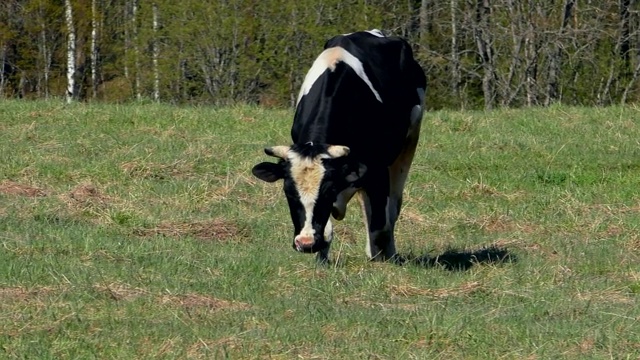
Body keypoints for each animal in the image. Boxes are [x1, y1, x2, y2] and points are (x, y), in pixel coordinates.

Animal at [252, 29, 428, 262]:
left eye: (327, 191)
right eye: (288, 192)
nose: (305, 243)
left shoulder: (377, 168)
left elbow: (379, 224)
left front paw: (381, 262)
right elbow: (327, 229)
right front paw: (322, 260)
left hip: (408, 144)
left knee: (391, 210)